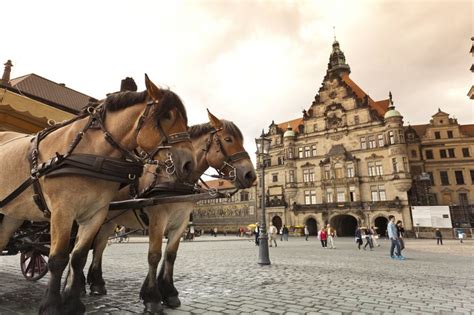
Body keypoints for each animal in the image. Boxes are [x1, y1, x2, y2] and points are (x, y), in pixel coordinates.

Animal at [0, 75, 194, 314]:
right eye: (167, 116)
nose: (189, 165)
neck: (91, 154)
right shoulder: (62, 212)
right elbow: (58, 258)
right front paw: (52, 305)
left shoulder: (95, 214)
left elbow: (78, 257)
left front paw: (73, 303)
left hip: (13, 213)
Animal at [84, 110, 256, 314]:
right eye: (228, 139)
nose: (251, 175)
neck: (175, 178)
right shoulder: (158, 220)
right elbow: (154, 256)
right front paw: (152, 299)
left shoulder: (180, 222)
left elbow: (170, 255)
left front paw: (169, 293)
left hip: (109, 221)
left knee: (99, 247)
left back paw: (96, 283)